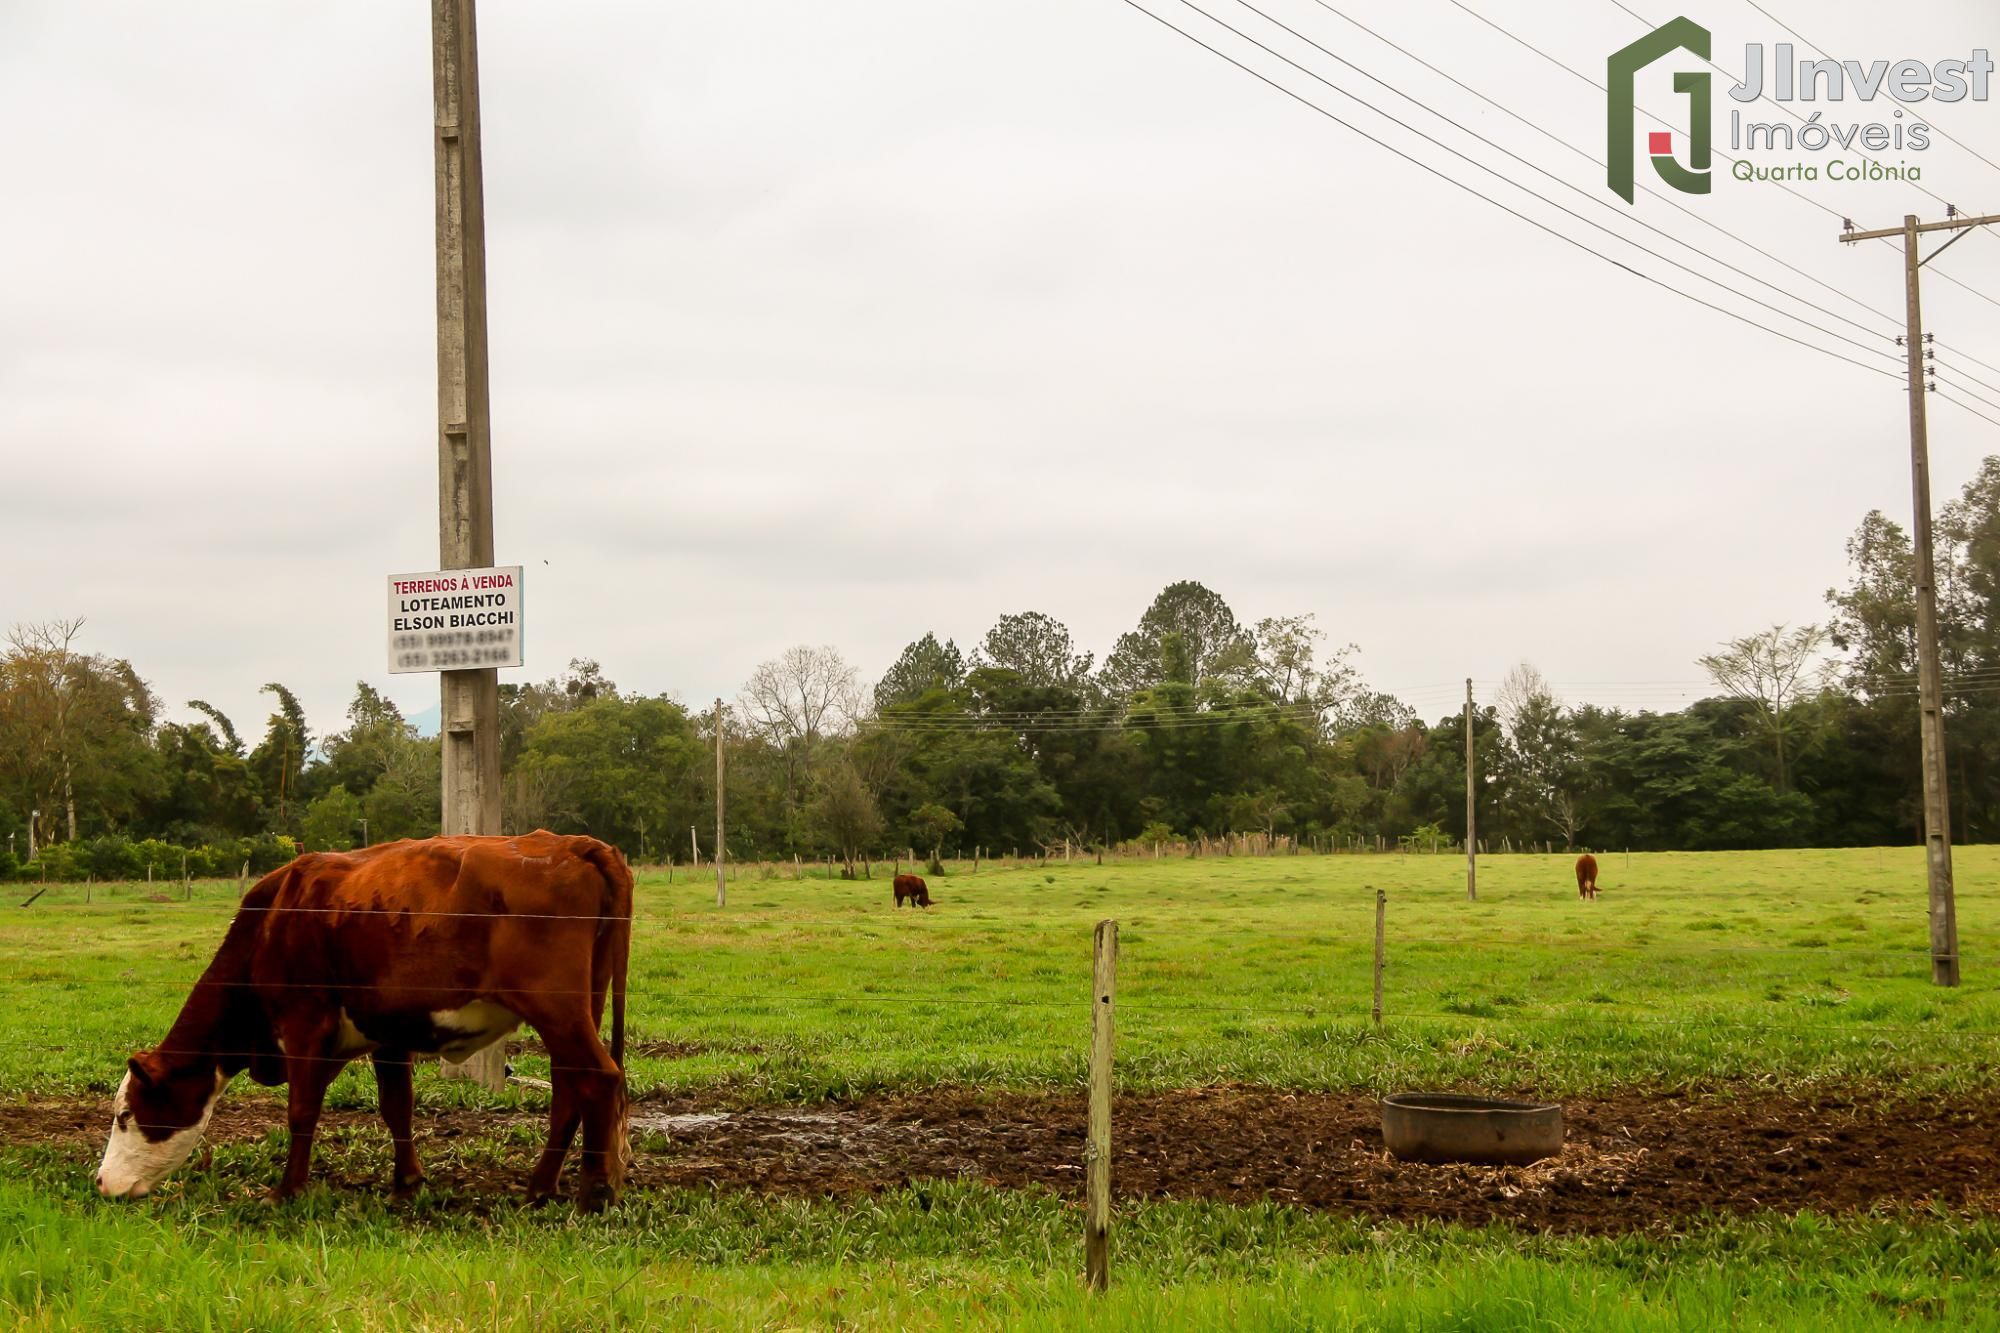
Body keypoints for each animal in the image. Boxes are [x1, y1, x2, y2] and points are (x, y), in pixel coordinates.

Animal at [95, 836, 632, 1208]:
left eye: (125, 1115)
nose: (101, 1183)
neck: (275, 918)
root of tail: (572, 845)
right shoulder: (385, 1031)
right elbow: (397, 1107)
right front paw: (406, 1182)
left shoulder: (305, 1024)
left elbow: (302, 1111)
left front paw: (286, 1191)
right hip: (580, 1008)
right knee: (570, 1086)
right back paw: (541, 1186)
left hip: (556, 1010)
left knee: (600, 1077)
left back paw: (595, 1190)